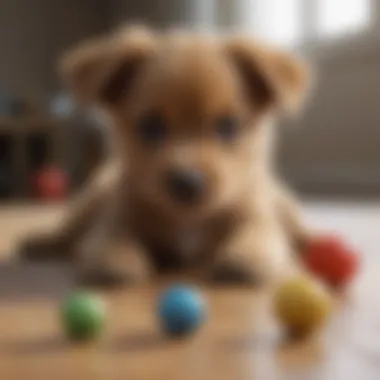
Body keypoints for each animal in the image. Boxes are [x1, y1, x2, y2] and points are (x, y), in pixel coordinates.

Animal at [19, 26, 312, 286]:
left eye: (228, 126)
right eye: (151, 126)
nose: (187, 182)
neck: (187, 221)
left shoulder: (256, 217)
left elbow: (258, 236)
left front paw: (246, 255)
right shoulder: (119, 217)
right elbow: (111, 238)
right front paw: (115, 258)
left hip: (285, 205)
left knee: (296, 229)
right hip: (90, 200)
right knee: (68, 233)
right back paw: (40, 241)